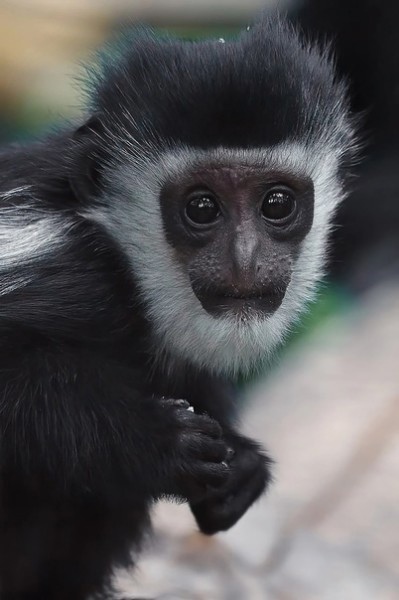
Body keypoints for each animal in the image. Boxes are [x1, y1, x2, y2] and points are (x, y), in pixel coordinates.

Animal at [0, 10, 356, 600]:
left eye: (277, 203)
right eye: (202, 208)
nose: (245, 259)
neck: (114, 247)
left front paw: (243, 468)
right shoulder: (65, 271)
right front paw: (154, 442)